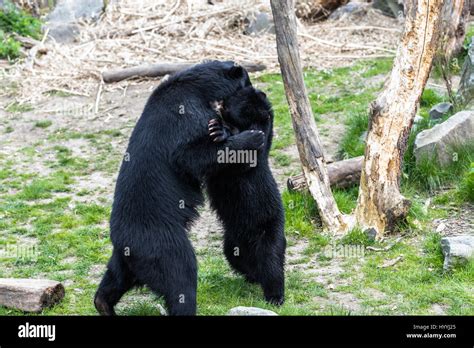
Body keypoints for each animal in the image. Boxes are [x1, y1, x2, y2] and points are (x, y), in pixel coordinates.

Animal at [94, 60, 264, 316]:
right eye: (247, 81)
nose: (255, 88)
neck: (198, 87)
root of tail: (126, 245)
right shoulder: (186, 116)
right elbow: (191, 155)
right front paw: (251, 136)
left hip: (124, 259)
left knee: (114, 279)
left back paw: (103, 304)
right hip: (163, 244)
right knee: (181, 277)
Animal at [206, 86, 286, 304]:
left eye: (236, 96)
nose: (220, 101)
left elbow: (244, 159)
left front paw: (219, 129)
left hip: (269, 230)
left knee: (271, 261)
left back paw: (274, 296)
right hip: (231, 240)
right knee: (236, 258)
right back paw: (252, 275)